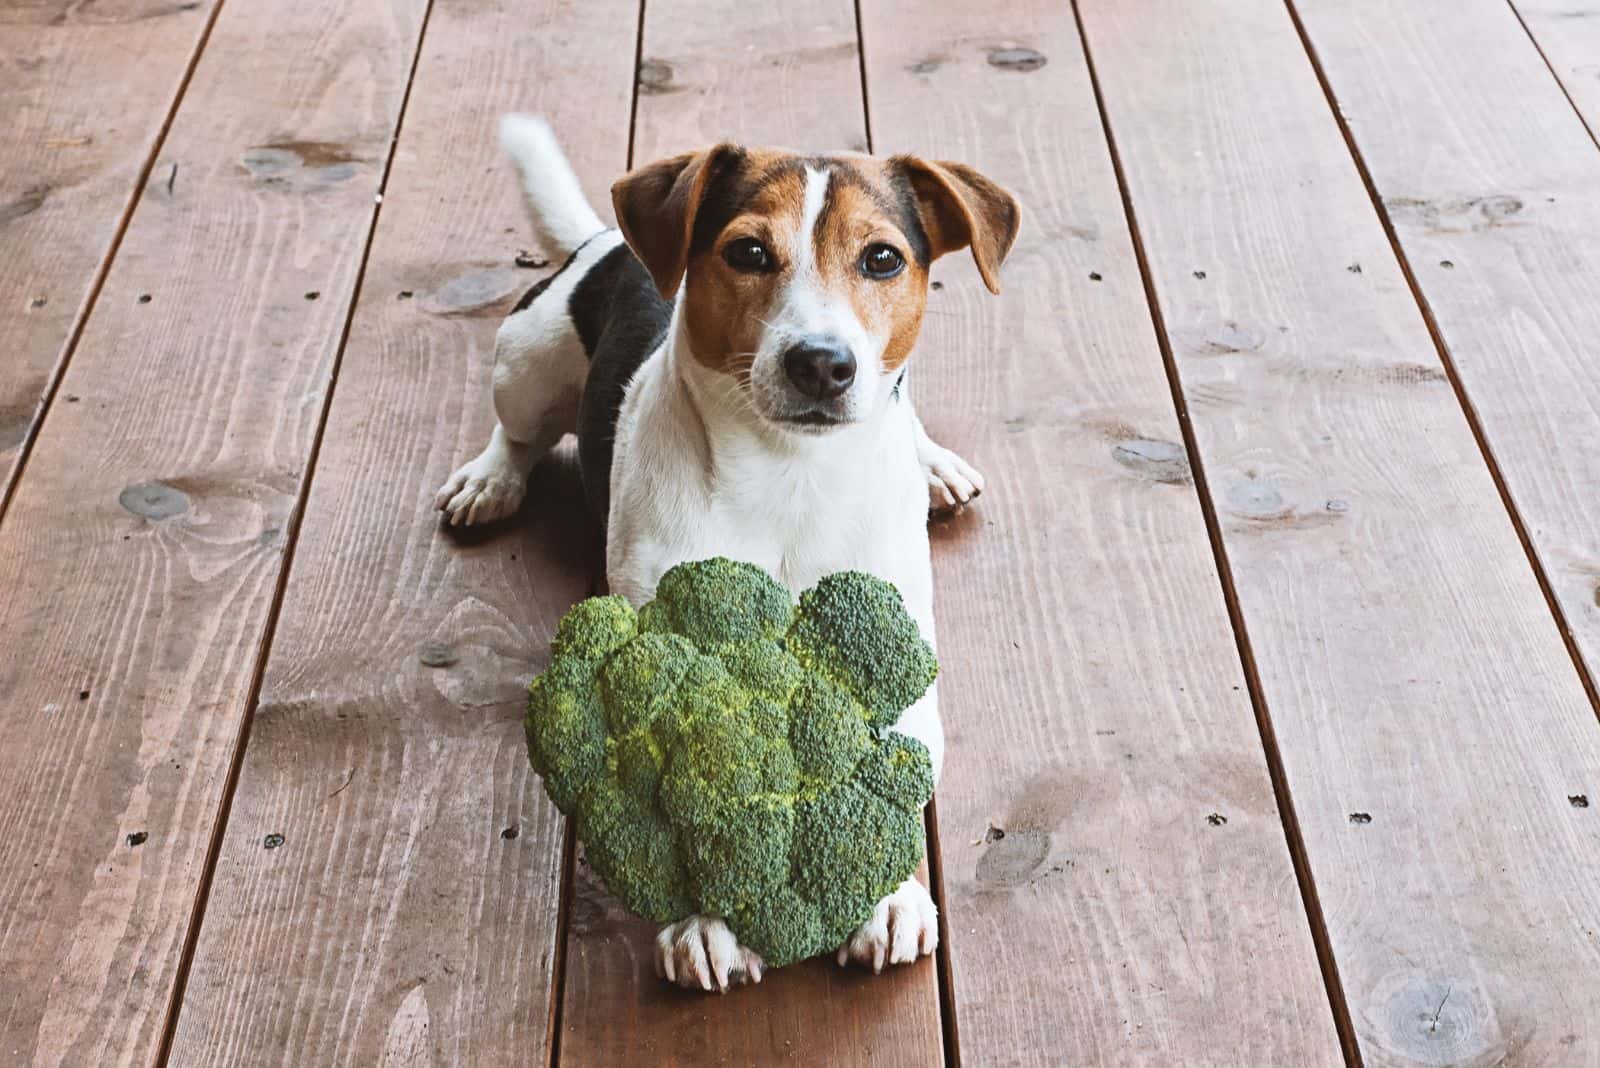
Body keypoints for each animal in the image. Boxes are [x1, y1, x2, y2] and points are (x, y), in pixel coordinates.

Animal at [438, 116, 1011, 991]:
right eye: (746, 252)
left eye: (882, 258)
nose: (822, 362)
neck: (789, 472)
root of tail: (604, 242)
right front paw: (705, 921)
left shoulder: (896, 642)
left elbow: (896, 763)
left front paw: (887, 896)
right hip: (526, 362)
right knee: (519, 429)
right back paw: (491, 478)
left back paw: (932, 462)